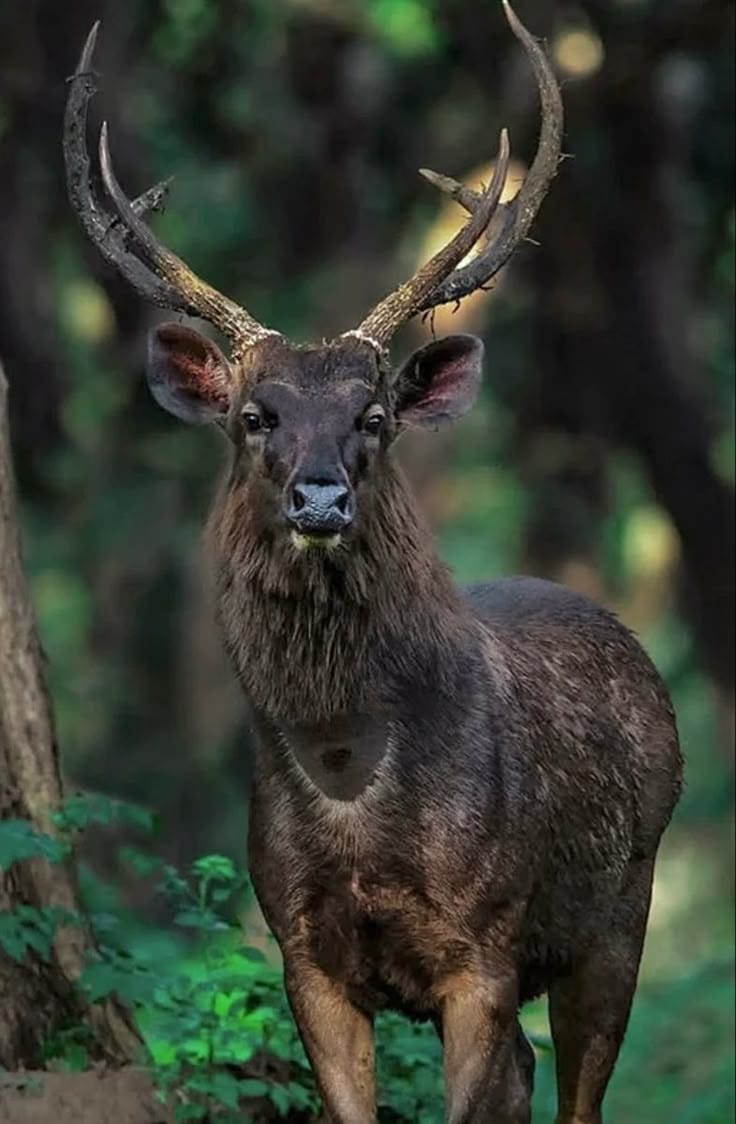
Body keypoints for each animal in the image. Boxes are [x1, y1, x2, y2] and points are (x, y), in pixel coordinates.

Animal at [64, 5, 682, 1122]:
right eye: (253, 415)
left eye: (376, 415)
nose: (320, 498)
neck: (350, 777)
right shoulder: (299, 947)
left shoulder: (484, 942)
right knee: (529, 1075)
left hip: (624, 900)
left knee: (578, 1083)